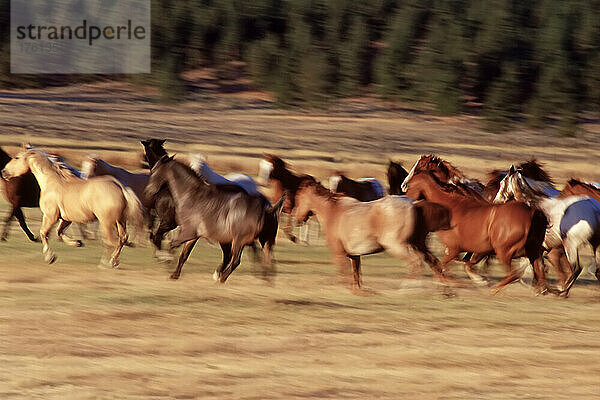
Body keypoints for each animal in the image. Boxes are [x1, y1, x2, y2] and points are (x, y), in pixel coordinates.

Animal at [1, 148, 145, 268]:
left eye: (17, 157)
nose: (4, 172)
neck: (52, 182)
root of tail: (121, 187)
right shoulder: (66, 219)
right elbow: (59, 232)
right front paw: (77, 243)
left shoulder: (50, 216)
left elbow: (43, 233)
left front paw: (50, 257)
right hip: (119, 221)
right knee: (122, 238)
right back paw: (113, 260)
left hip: (107, 222)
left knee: (111, 241)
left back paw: (106, 263)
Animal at [145, 155, 286, 282]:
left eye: (154, 172)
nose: (148, 192)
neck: (191, 196)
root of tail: (267, 208)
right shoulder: (192, 236)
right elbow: (184, 255)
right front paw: (174, 274)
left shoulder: (187, 232)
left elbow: (172, 245)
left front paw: (167, 261)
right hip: (264, 240)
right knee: (265, 257)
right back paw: (266, 279)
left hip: (238, 241)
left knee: (236, 260)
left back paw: (222, 278)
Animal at [292, 180, 454, 292]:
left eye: (299, 198)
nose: (297, 218)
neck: (333, 212)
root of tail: (414, 204)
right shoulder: (354, 255)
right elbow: (356, 275)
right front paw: (358, 290)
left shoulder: (339, 252)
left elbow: (343, 272)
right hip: (418, 244)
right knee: (433, 262)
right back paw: (444, 289)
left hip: (397, 246)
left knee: (415, 262)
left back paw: (409, 287)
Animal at [404, 170, 552, 296]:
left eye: (408, 186)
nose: (406, 201)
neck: (450, 208)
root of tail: (533, 212)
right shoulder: (480, 250)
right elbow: (464, 266)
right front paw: (478, 280)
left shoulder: (453, 249)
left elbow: (442, 267)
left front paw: (451, 287)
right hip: (532, 252)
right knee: (539, 271)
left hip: (504, 252)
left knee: (515, 274)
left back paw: (493, 290)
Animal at [494, 167, 600, 296]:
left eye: (502, 183)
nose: (496, 201)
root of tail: (594, 209)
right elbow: (538, 268)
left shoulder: (537, 249)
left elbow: (537, 268)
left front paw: (542, 289)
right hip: (596, 246)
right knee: (597, 271)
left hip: (570, 245)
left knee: (576, 269)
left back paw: (561, 291)